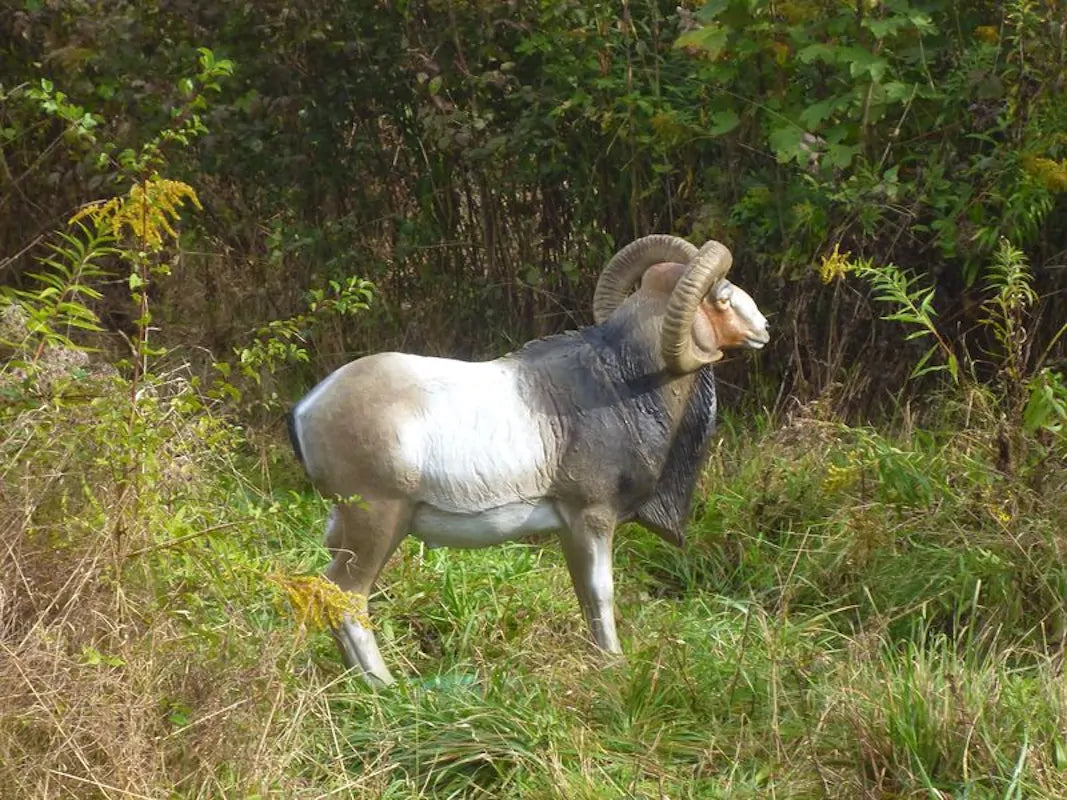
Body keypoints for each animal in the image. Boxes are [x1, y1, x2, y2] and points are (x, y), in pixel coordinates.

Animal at [287, 235, 770, 685]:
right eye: (722, 296)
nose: (763, 328)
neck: (624, 384)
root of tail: (307, 409)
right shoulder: (592, 518)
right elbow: (601, 593)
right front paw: (614, 664)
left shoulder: (570, 529)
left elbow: (584, 595)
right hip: (376, 526)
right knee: (346, 596)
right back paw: (385, 686)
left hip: (346, 528)